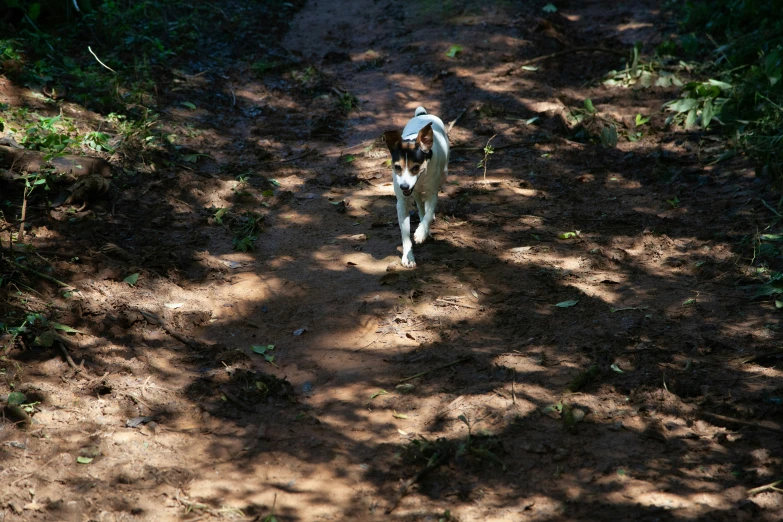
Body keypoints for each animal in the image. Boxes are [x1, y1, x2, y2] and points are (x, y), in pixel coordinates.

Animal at [382, 106, 450, 268]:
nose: (404, 186)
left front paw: (420, 233)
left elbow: (429, 212)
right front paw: (408, 256)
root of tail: (423, 115)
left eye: (416, 167)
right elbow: (405, 233)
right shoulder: (402, 202)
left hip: (443, 174)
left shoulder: (432, 193)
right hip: (414, 192)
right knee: (419, 203)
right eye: (397, 167)